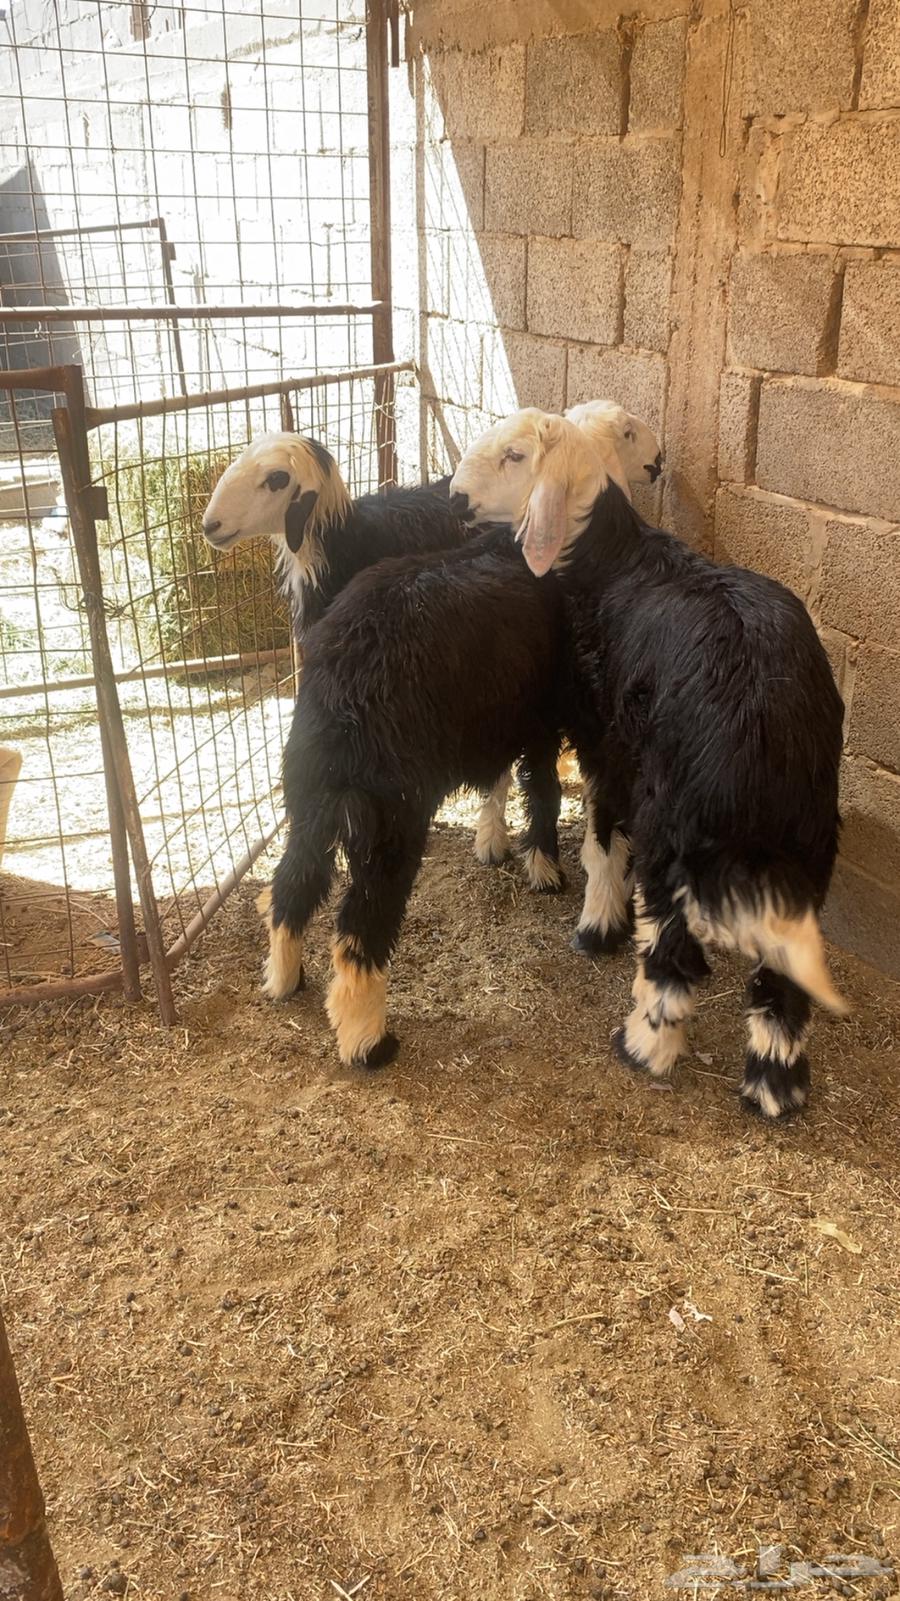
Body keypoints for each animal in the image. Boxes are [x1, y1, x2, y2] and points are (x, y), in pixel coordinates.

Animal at [449, 410, 846, 1120]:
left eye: (515, 455)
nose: (454, 499)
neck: (603, 558)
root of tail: (765, 726)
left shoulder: (606, 743)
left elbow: (603, 841)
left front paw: (600, 926)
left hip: (678, 821)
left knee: (672, 951)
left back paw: (644, 1045)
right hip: (807, 838)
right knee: (783, 977)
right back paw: (774, 1087)